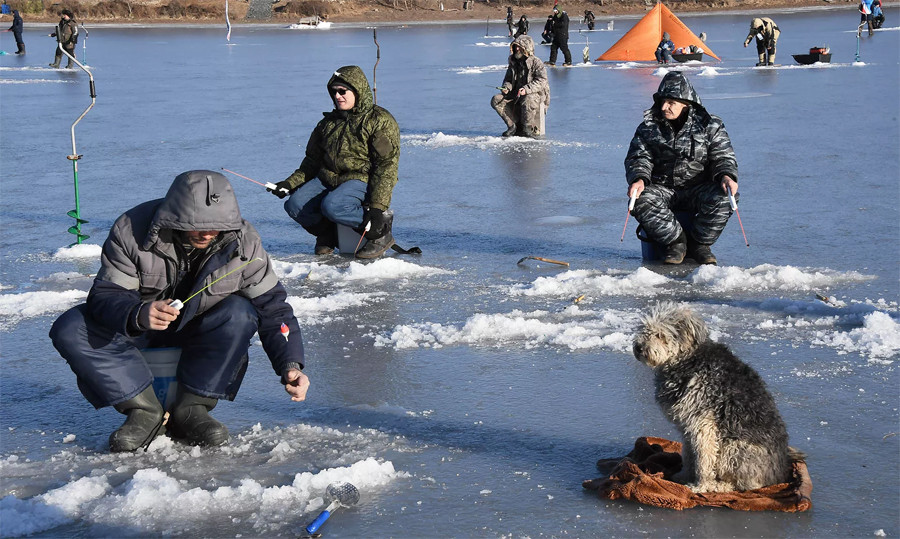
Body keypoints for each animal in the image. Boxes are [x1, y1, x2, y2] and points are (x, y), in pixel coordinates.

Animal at [632, 304, 788, 494]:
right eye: (644, 329)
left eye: (660, 335)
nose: (639, 347)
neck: (688, 360)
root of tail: (778, 475)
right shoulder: (687, 427)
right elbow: (689, 455)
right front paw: (683, 476)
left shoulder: (704, 425)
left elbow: (704, 460)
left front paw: (700, 486)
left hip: (733, 448)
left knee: (747, 485)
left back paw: (719, 485)